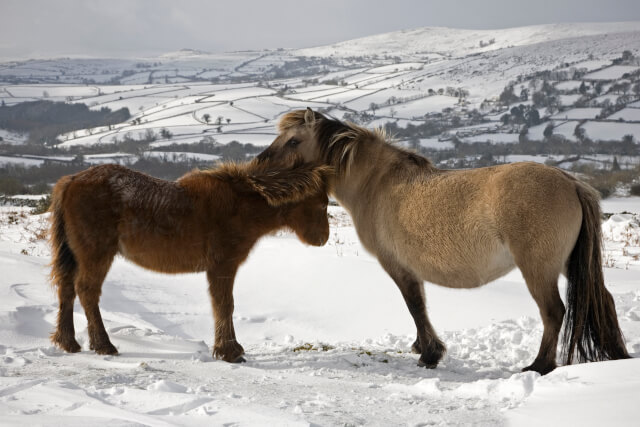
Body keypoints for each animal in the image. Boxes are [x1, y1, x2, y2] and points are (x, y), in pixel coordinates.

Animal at [49, 159, 330, 362]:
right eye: (323, 203)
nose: (323, 238)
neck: (239, 206)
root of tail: (71, 181)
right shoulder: (222, 267)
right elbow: (225, 305)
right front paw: (229, 351)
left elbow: (223, 305)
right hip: (96, 254)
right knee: (87, 291)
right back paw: (103, 345)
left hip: (78, 256)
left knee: (67, 289)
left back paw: (69, 342)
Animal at [258, 108, 632, 376]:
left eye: (293, 141)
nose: (260, 164)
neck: (376, 184)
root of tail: (570, 182)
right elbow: (419, 306)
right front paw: (424, 349)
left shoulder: (398, 266)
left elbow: (415, 306)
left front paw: (429, 354)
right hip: (567, 263)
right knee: (604, 300)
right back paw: (616, 355)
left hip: (538, 268)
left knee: (554, 312)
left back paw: (539, 366)